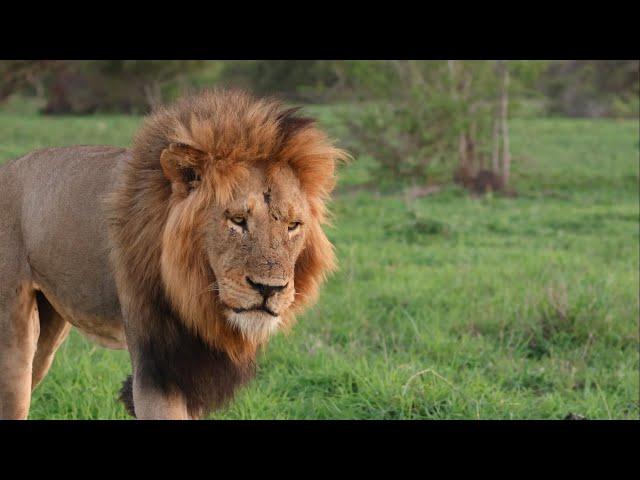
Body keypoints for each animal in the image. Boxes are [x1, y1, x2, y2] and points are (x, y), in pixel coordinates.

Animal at [0, 88, 348, 418]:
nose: (269, 288)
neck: (194, 292)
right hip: (14, 340)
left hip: (48, 330)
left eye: (293, 225)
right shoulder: (157, 365)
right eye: (237, 220)